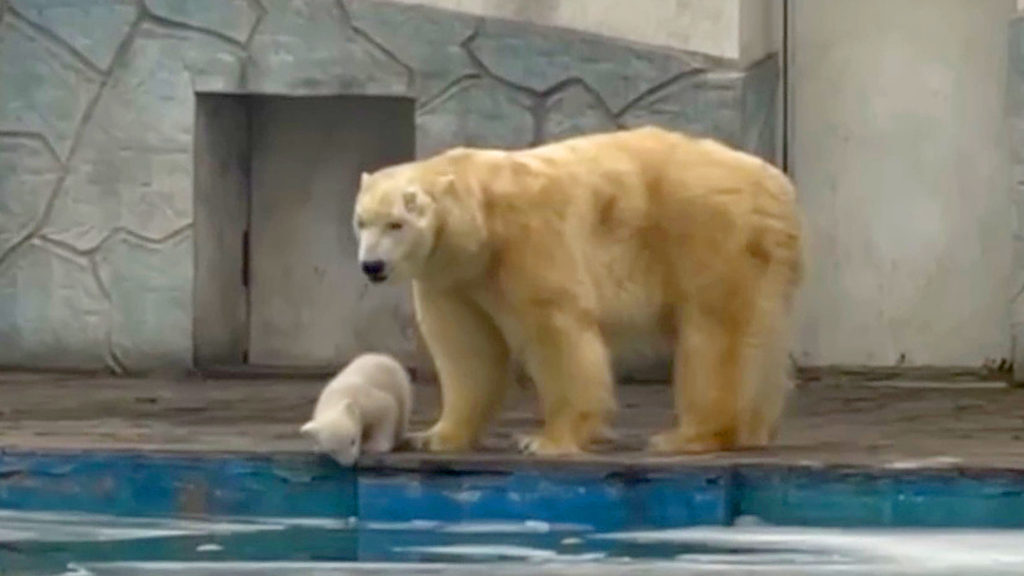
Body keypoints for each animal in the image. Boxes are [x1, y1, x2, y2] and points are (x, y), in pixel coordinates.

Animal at [352, 126, 803, 456]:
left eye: (397, 223)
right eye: (362, 221)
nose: (372, 266)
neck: (482, 224)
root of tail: (779, 189)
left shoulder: (526, 241)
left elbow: (556, 331)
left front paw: (547, 440)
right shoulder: (453, 278)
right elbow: (468, 349)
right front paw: (435, 435)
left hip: (710, 235)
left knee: (714, 334)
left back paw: (689, 435)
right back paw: (753, 429)